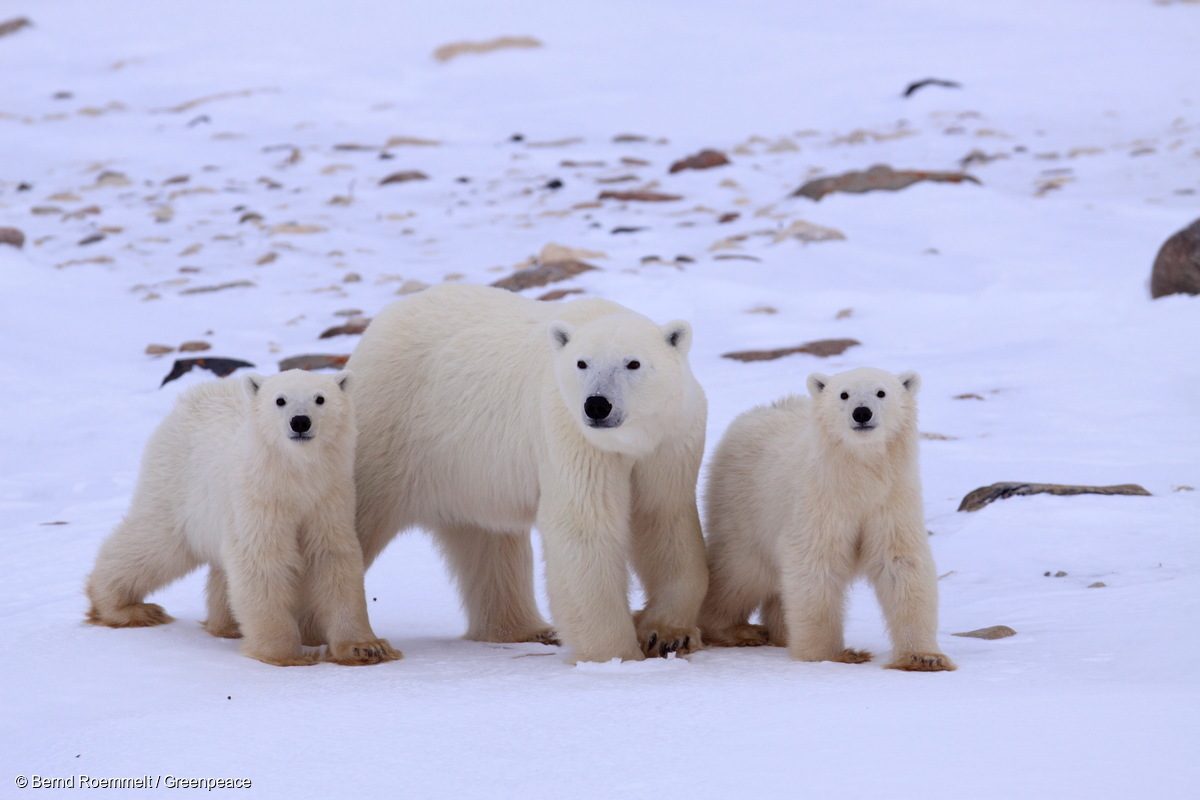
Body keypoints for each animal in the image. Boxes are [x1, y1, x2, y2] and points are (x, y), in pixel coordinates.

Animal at [86, 369, 401, 667]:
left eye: (320, 398)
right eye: (280, 400)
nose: (300, 422)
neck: (294, 477)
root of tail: (195, 393)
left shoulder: (329, 498)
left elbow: (333, 559)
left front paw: (366, 648)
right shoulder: (260, 498)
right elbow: (262, 560)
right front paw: (285, 654)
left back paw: (227, 625)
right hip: (179, 485)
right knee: (155, 544)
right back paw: (125, 607)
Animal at [346, 283, 709, 662]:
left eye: (633, 363)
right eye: (582, 363)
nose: (597, 405)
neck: (631, 441)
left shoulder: (670, 442)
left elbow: (663, 518)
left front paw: (666, 634)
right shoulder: (570, 433)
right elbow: (585, 525)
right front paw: (615, 656)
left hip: (471, 470)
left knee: (486, 540)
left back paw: (525, 629)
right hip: (391, 428)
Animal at [699, 367, 955, 671]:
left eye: (881, 392)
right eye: (843, 394)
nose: (862, 413)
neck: (859, 474)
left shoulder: (891, 501)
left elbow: (900, 564)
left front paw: (924, 657)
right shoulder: (822, 500)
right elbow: (816, 563)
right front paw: (831, 655)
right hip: (743, 506)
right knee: (741, 571)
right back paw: (734, 630)